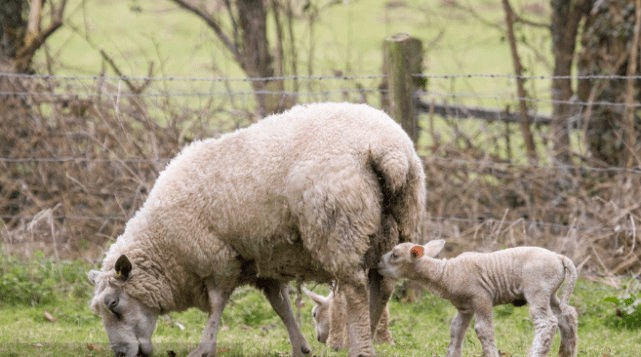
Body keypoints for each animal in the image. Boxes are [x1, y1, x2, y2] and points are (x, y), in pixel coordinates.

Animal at [85, 101, 424, 356]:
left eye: (113, 304)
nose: (120, 353)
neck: (164, 246)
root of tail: (391, 152)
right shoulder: (262, 262)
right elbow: (281, 305)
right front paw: (300, 347)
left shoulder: (217, 257)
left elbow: (217, 305)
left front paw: (204, 348)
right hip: (395, 225)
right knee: (382, 285)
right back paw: (365, 336)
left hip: (339, 227)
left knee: (355, 289)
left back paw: (361, 348)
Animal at [378, 239, 576, 356]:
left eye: (395, 255)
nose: (378, 262)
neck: (445, 273)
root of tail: (559, 257)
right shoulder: (464, 307)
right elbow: (456, 329)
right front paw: (452, 353)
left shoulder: (481, 298)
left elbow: (483, 330)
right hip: (550, 291)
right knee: (567, 315)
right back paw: (567, 352)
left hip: (537, 288)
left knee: (547, 322)